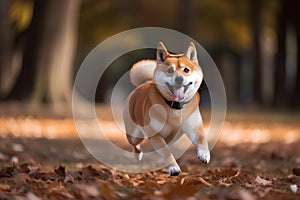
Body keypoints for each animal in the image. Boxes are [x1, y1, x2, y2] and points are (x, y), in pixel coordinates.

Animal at [123, 41, 210, 175]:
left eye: (186, 70)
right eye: (170, 70)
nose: (179, 78)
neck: (175, 108)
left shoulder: (194, 127)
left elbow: (202, 139)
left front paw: (204, 154)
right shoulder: (156, 136)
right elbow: (167, 152)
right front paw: (173, 167)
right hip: (135, 135)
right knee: (135, 144)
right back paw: (137, 155)